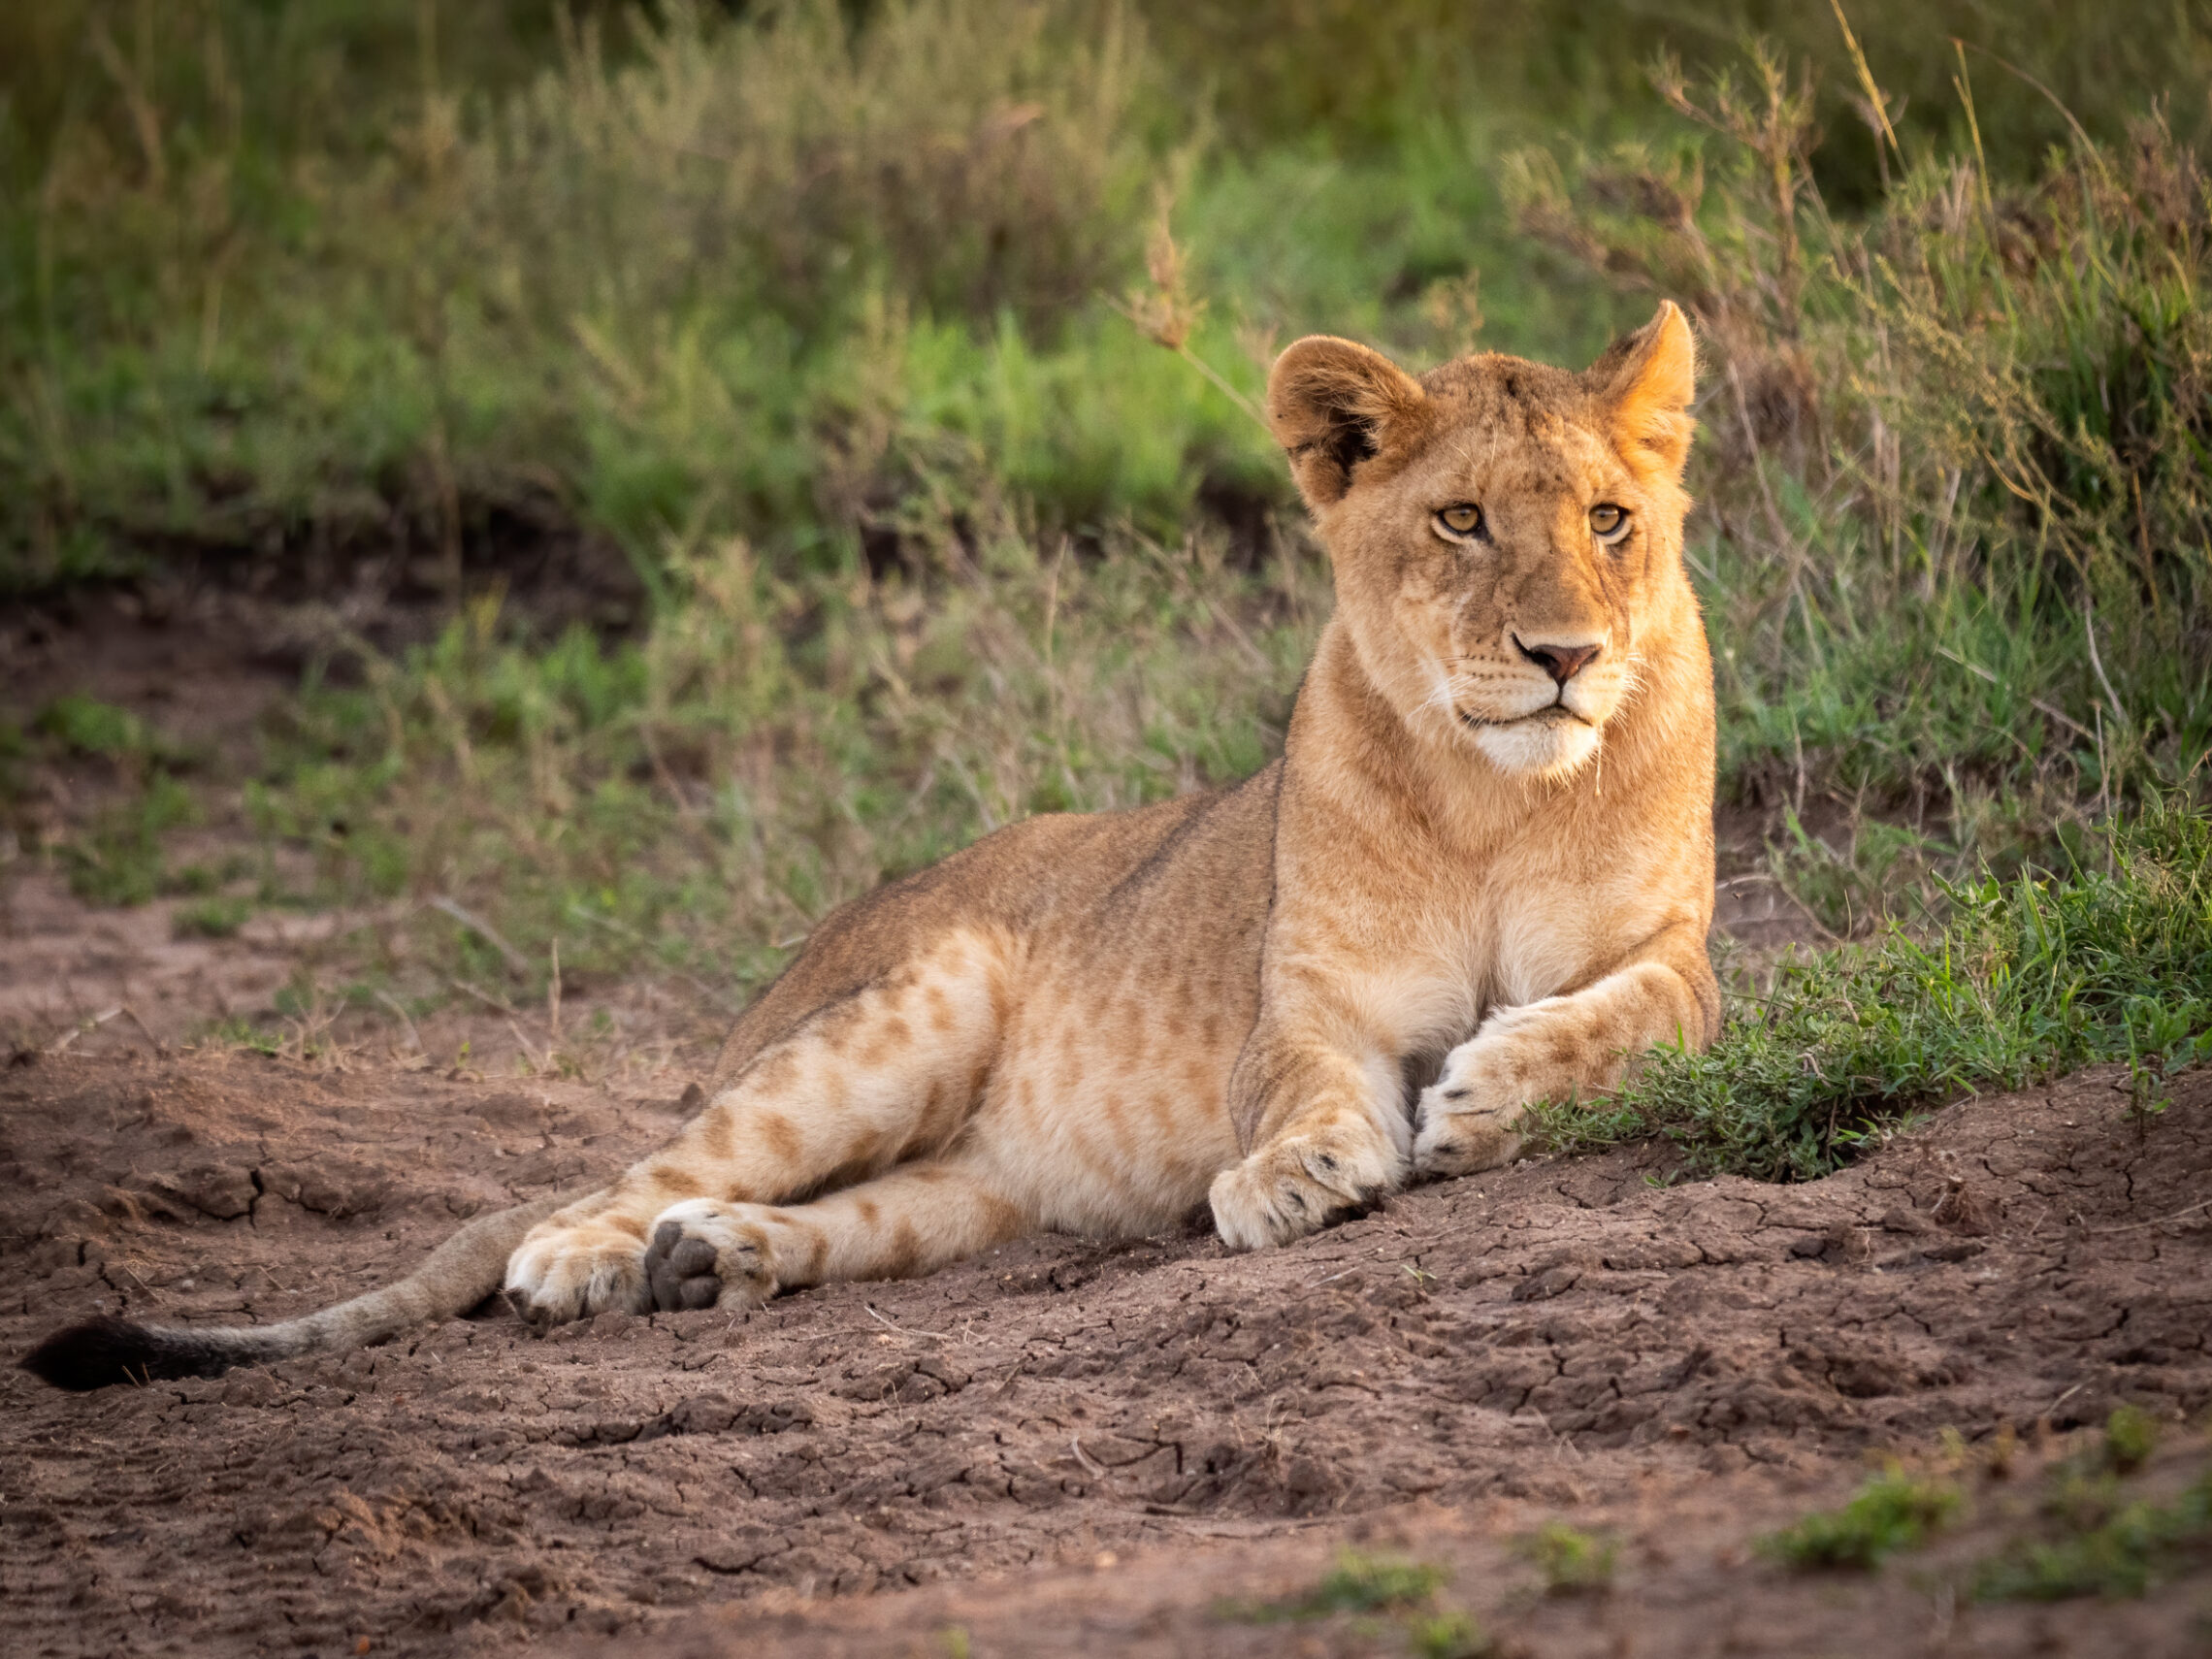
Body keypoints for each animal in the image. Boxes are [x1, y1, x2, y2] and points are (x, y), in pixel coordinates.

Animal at [25, 302, 1719, 1390]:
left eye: (1610, 519)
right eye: (1460, 522)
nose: (1565, 655)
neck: (1497, 796)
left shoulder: (1683, 958)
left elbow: (1624, 1012)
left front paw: (1487, 1088)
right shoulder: (1303, 1003)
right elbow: (1297, 1085)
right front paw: (1297, 1173)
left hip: (967, 1190)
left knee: (840, 1211)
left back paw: (712, 1260)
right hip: (911, 1005)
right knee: (626, 1175)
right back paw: (585, 1261)